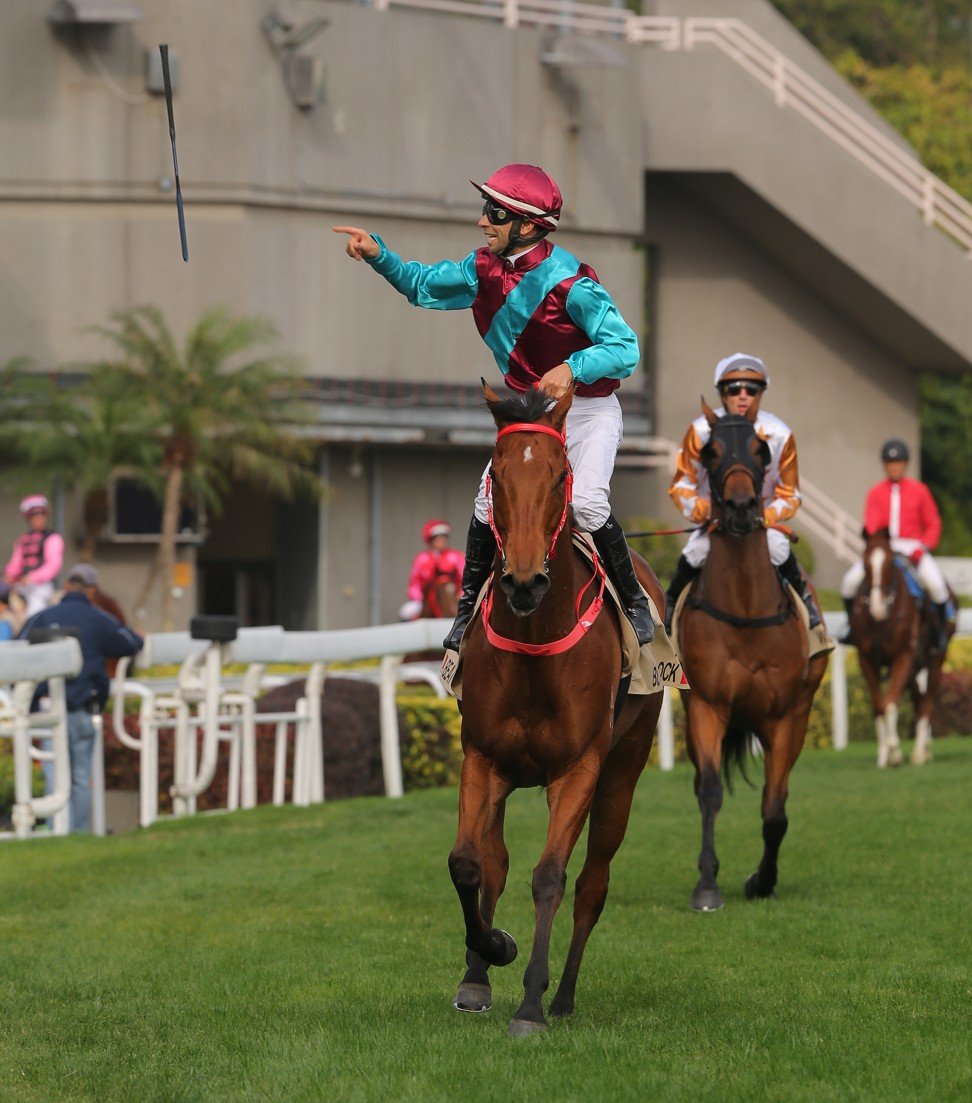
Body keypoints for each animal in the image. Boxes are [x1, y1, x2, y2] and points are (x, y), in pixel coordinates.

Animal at [452, 383, 661, 1036]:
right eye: (497, 473)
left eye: (559, 474)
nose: (523, 583)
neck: (534, 644)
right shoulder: (483, 758)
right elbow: (469, 864)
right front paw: (490, 952)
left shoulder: (578, 770)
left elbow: (550, 877)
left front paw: (531, 1005)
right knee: (494, 861)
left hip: (623, 770)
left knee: (593, 884)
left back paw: (565, 996)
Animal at [675, 401, 825, 908]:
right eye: (710, 450)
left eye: (762, 450)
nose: (741, 508)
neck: (744, 610)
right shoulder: (706, 705)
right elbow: (709, 791)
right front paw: (706, 883)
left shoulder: (786, 716)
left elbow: (775, 808)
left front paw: (763, 879)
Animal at [847, 525, 957, 767]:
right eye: (865, 563)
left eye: (889, 564)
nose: (877, 607)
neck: (881, 621)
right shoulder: (866, 660)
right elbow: (879, 705)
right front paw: (883, 754)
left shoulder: (903, 657)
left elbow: (890, 702)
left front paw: (894, 751)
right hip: (915, 668)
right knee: (918, 699)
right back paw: (924, 749)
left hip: (935, 661)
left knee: (927, 702)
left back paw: (918, 753)